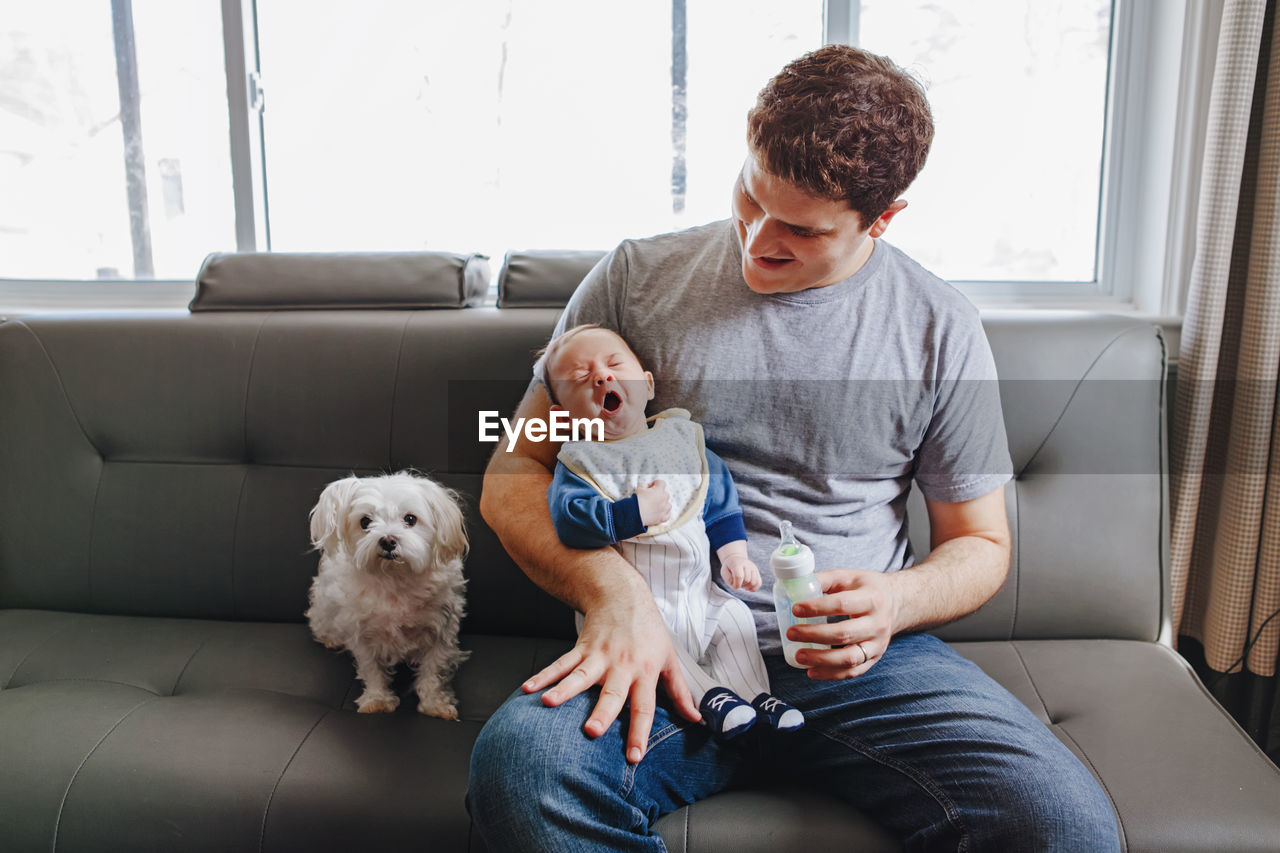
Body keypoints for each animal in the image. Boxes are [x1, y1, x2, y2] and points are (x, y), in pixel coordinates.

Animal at [305, 471, 471, 717]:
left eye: (410, 518)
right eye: (365, 522)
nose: (388, 540)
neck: (395, 578)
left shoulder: (442, 631)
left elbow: (433, 672)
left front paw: (435, 704)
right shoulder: (362, 634)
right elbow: (372, 669)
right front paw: (378, 700)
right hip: (324, 608)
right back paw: (331, 639)